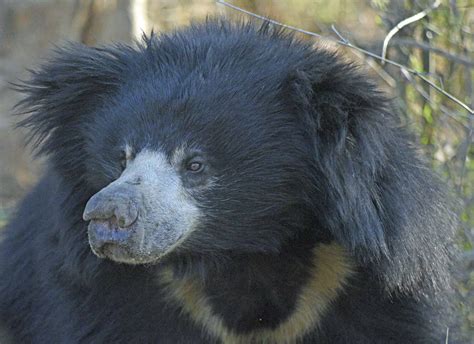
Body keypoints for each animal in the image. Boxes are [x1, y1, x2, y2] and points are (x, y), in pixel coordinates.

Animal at [0, 20, 460, 342]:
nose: (106, 215)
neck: (245, 256)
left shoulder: (361, 281)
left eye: (196, 165)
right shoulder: (106, 295)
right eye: (121, 158)